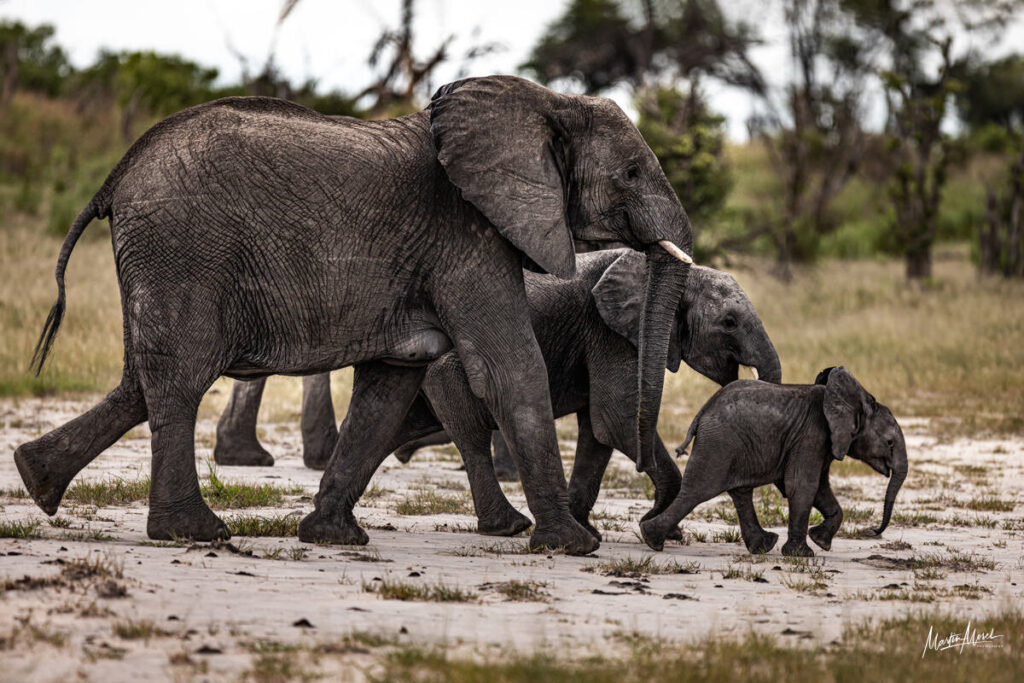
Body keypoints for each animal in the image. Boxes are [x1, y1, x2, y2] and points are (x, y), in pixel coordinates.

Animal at [14, 75, 694, 555]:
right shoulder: (466, 236)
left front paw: (332, 536)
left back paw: (36, 480)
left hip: (164, 257)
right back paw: (195, 533)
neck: (545, 102)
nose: (655, 529)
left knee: (141, 381)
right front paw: (575, 546)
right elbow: (509, 368)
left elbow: (389, 386)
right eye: (632, 171)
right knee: (179, 378)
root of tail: (116, 175)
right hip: (184, 250)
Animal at [215, 250, 782, 540]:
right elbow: (614, 418)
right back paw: (506, 526)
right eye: (729, 322)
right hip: (444, 367)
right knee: (468, 433)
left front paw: (585, 526)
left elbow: (598, 431)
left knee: (393, 428)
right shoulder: (607, 332)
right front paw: (653, 529)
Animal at [639, 366, 908, 556]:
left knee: (740, 492)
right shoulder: (812, 434)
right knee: (697, 491)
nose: (872, 531)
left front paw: (821, 542)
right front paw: (802, 555)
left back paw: (762, 547)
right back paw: (652, 540)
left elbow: (819, 488)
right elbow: (802, 486)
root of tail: (701, 413)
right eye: (890, 443)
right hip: (718, 444)